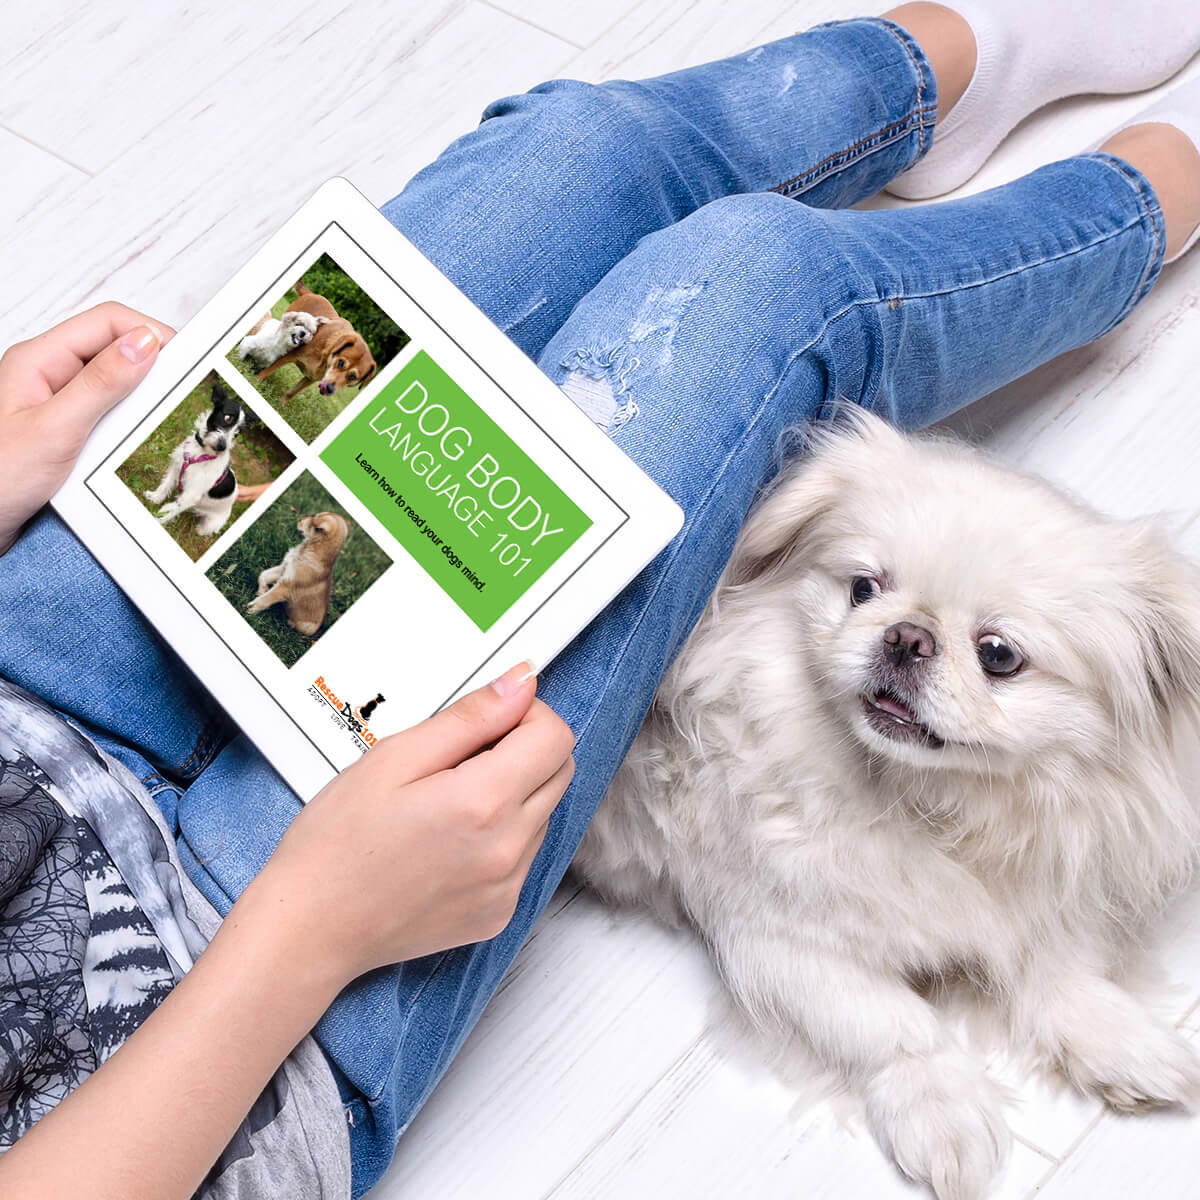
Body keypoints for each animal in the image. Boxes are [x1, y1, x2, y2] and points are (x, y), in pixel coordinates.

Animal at [144, 381, 247, 537]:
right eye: (227, 417)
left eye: (237, 433)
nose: (222, 446)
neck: (202, 452)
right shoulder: (177, 466)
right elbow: (166, 485)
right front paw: (155, 497)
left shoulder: (192, 494)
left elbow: (173, 510)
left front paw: (159, 520)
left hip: (210, 524)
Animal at [576, 410, 1200, 1200]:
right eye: (864, 589)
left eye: (999, 655)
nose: (907, 635)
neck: (927, 803)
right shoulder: (777, 935)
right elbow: (890, 1025)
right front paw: (943, 1112)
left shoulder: (1039, 886)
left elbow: (1058, 967)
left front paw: (1118, 1039)